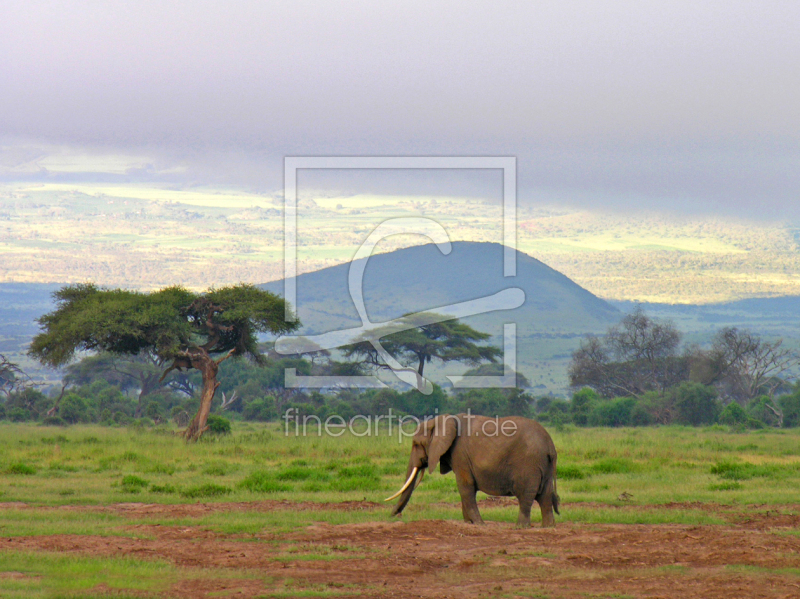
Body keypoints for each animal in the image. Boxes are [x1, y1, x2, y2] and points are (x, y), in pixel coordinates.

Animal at [384, 414, 560, 528]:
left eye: (416, 444)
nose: (395, 515)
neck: (442, 420)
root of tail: (550, 445)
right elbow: (466, 489)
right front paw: (469, 523)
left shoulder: (460, 454)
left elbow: (465, 486)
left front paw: (479, 524)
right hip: (544, 465)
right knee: (545, 495)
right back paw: (548, 527)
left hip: (528, 464)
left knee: (525, 495)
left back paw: (521, 527)